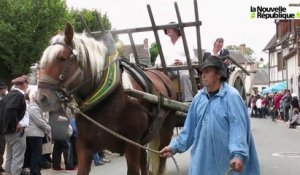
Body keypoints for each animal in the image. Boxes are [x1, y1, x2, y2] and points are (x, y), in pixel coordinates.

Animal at [37, 23, 178, 175]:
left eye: (62, 58)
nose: (41, 98)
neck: (105, 99)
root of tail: (162, 75)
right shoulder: (84, 146)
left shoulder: (131, 145)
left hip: (164, 133)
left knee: (161, 158)